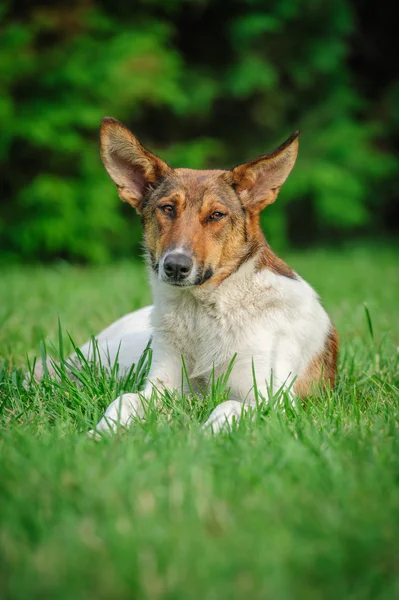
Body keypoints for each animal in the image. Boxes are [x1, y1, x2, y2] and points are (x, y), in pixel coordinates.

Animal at [32, 117, 340, 434]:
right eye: (167, 208)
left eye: (216, 215)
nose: (176, 266)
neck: (202, 310)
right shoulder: (161, 387)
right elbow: (125, 400)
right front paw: (100, 433)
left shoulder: (272, 399)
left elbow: (227, 406)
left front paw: (204, 436)